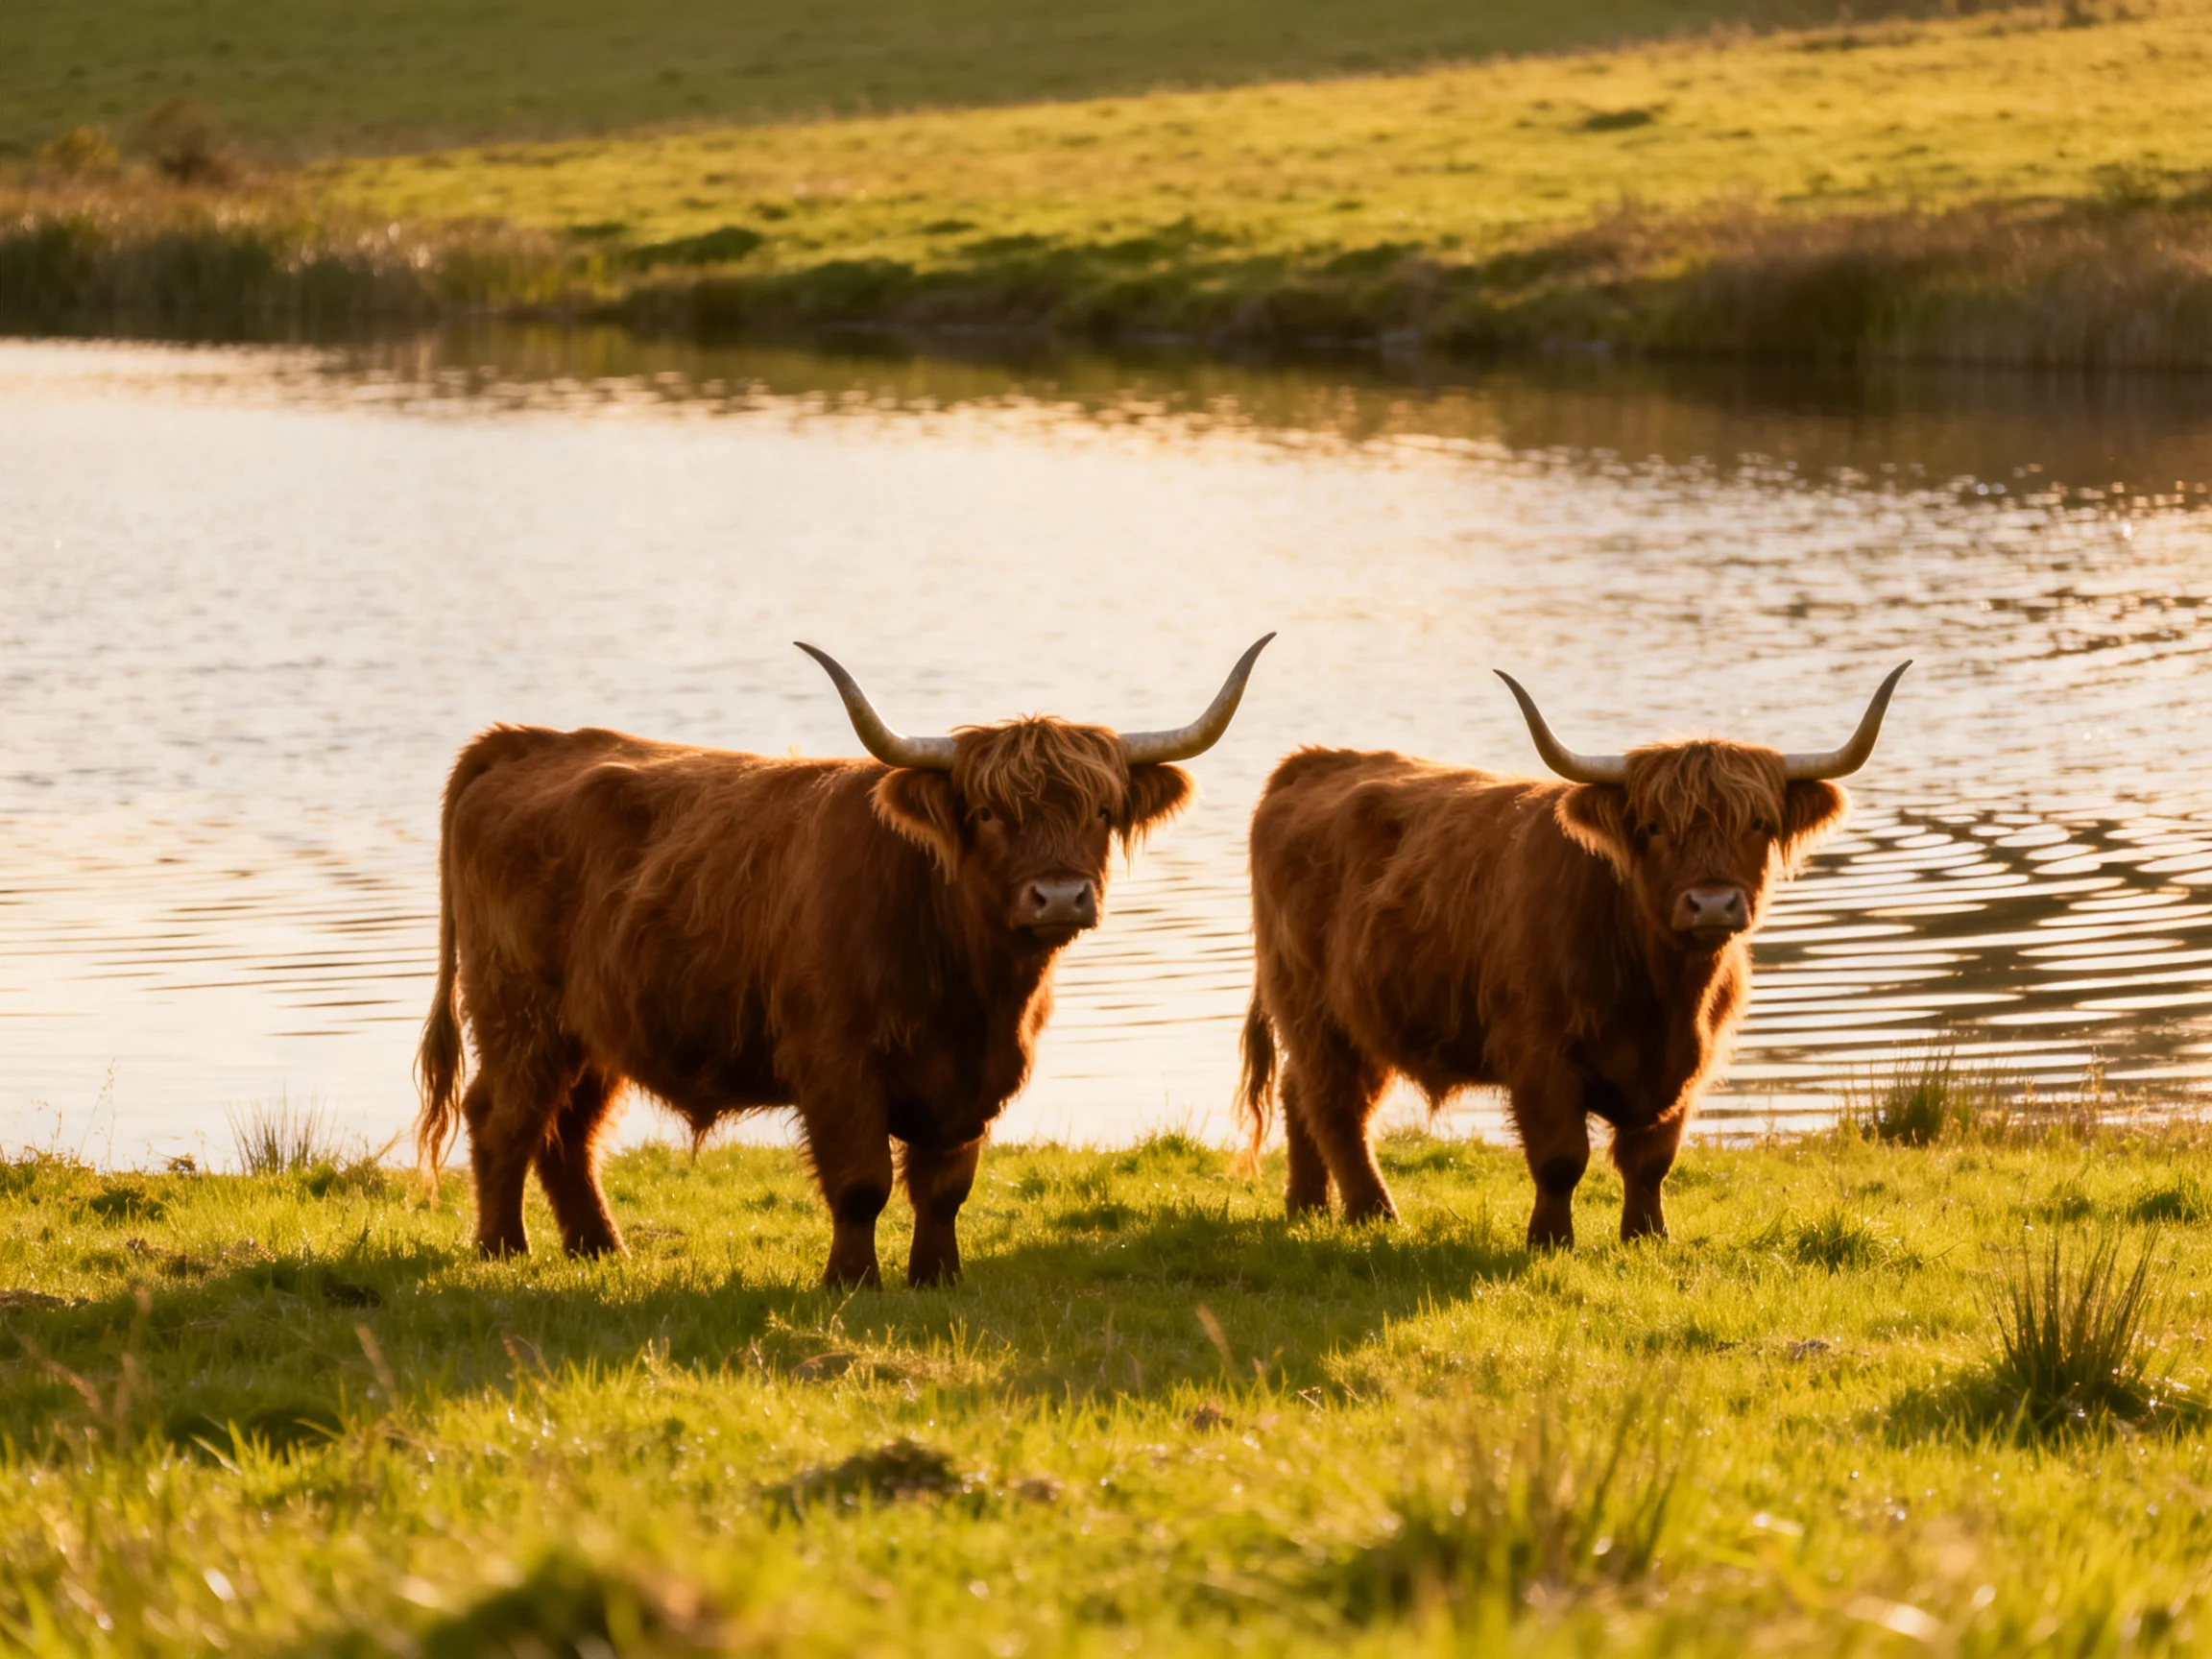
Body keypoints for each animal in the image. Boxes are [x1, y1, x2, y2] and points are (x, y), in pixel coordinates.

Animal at [415, 636, 1272, 1287]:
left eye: (1100, 810)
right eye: (986, 813)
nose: (1059, 896)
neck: (971, 990)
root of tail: (527, 739)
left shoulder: (975, 1080)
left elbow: (944, 1187)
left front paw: (936, 1278)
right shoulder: (835, 1064)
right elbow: (862, 1183)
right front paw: (852, 1282)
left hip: (598, 1028)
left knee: (569, 1132)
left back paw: (601, 1250)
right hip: (518, 1009)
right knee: (502, 1115)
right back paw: (502, 1249)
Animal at [1238, 664, 1907, 1248]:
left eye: (1758, 824)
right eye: (1653, 828)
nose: (1712, 905)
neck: (1662, 994)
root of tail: (1312, 761)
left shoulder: (1689, 1063)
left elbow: (1650, 1161)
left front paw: (1647, 1238)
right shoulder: (1538, 1053)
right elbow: (1561, 1158)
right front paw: (1550, 1240)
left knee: (1302, 1094)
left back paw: (1306, 1205)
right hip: (1311, 1003)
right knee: (1336, 1106)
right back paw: (1373, 1213)